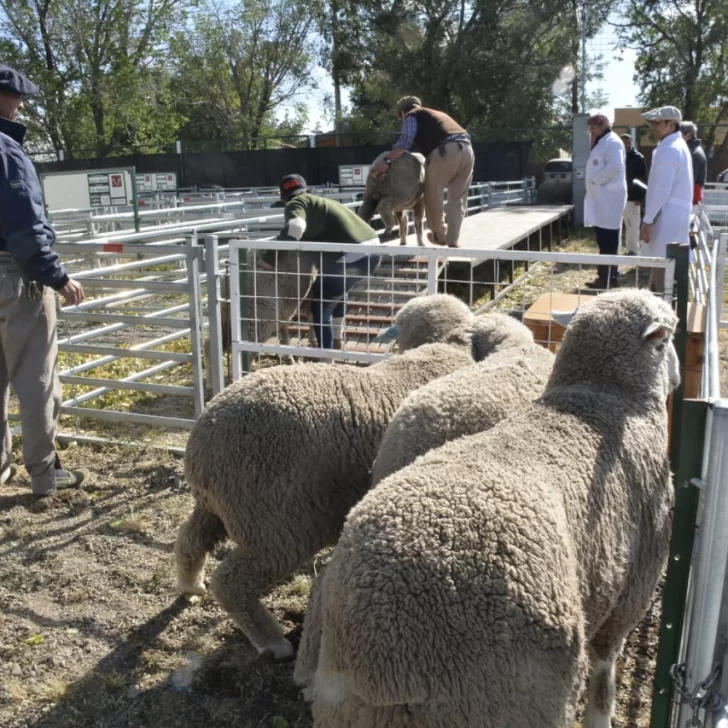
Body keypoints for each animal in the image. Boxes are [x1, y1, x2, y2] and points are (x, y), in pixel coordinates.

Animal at [172, 292, 478, 664]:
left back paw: (190, 585)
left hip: (221, 508)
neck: (442, 348)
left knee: (189, 540)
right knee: (231, 581)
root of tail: (201, 443)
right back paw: (273, 642)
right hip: (277, 524)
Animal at [310, 290, 680, 728]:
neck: (599, 398)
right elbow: (605, 677)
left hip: (347, 706)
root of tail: (388, 644)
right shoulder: (633, 590)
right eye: (667, 339)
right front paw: (601, 717)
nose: (676, 378)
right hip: (515, 698)